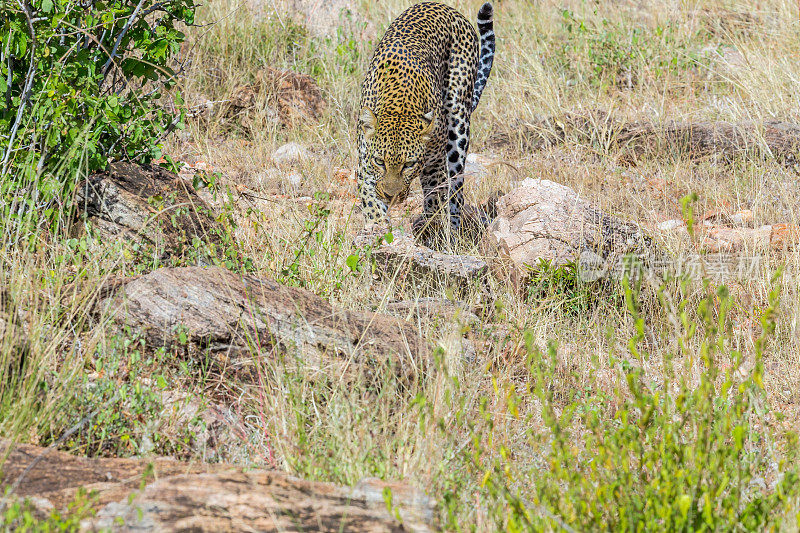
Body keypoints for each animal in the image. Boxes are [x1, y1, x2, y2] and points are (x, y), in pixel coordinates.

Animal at [356, 0, 494, 244]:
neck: (398, 107)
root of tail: (445, 7)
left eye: (408, 164)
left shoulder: (435, 163)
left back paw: (452, 235)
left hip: (458, 127)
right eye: (380, 162)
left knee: (456, 194)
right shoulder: (365, 165)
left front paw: (432, 232)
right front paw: (377, 228)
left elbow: (435, 199)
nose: (391, 197)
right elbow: (371, 202)